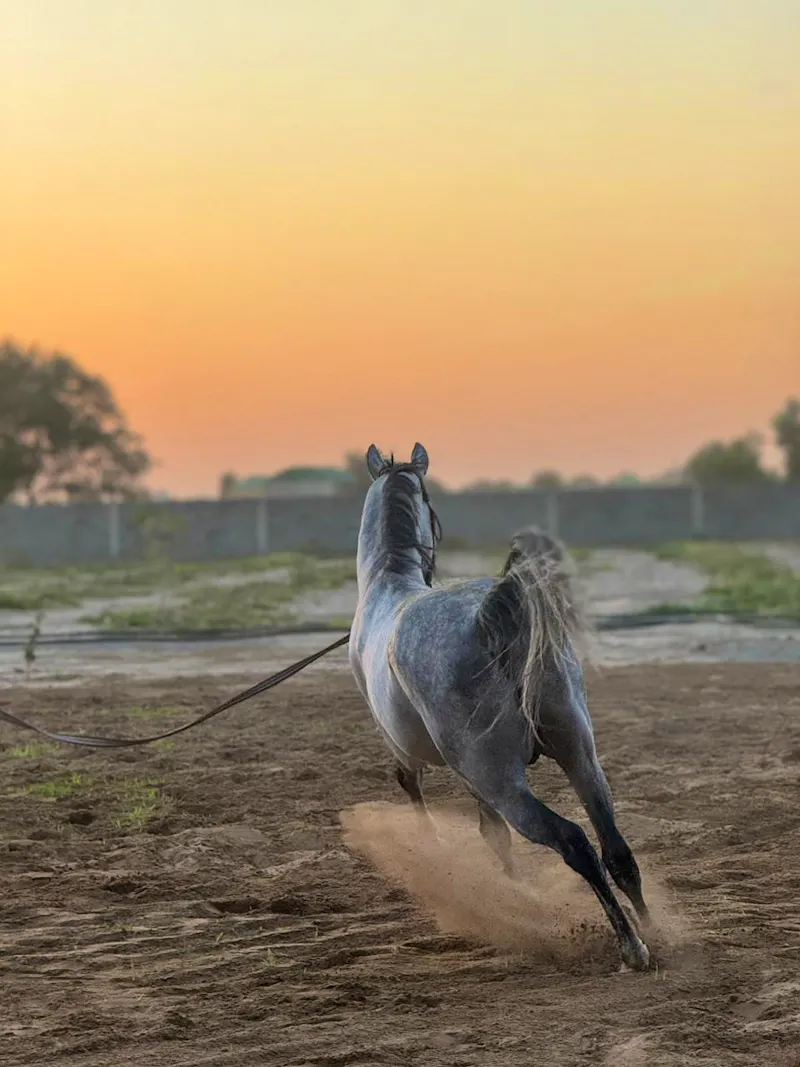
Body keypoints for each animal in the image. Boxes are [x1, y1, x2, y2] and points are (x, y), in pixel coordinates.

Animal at [348, 443, 651, 971]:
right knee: (615, 849)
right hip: (579, 754)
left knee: (574, 842)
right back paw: (658, 931)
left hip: (502, 779)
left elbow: (439, 803)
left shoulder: (427, 760)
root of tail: (491, 614)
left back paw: (633, 947)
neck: (386, 586)